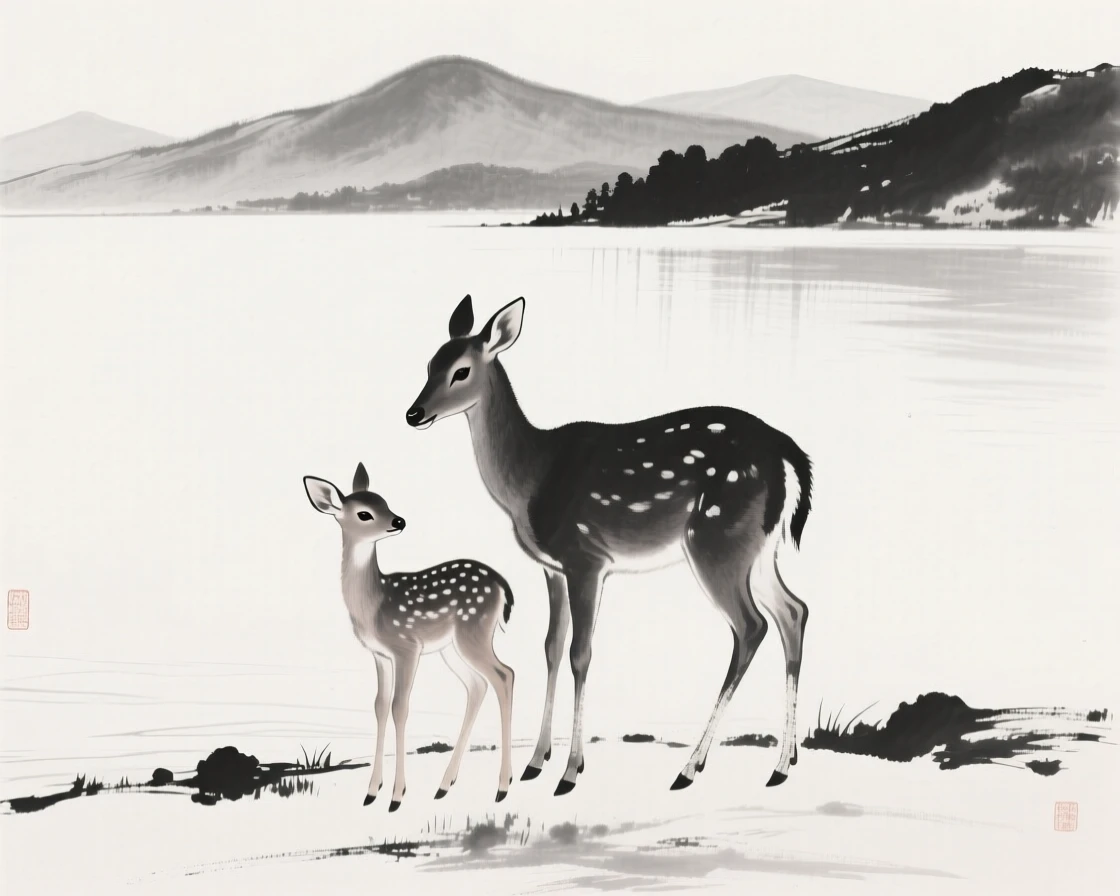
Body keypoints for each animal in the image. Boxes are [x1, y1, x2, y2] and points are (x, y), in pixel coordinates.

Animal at [303, 463, 516, 810]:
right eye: (364, 513)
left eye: (385, 503)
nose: (398, 521)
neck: (373, 604)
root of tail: (502, 586)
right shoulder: (379, 654)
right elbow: (379, 705)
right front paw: (371, 791)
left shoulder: (407, 647)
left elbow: (399, 707)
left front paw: (396, 795)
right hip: (452, 647)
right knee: (478, 685)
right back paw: (445, 785)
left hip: (473, 631)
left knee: (504, 675)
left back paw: (502, 786)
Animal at [405, 295, 813, 796]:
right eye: (430, 363)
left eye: (460, 371)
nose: (414, 413)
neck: (529, 478)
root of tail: (787, 455)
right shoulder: (552, 565)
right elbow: (552, 646)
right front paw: (536, 762)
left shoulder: (586, 558)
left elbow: (581, 654)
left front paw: (570, 772)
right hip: (759, 548)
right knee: (794, 611)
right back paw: (782, 764)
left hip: (718, 540)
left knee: (752, 625)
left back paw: (690, 768)